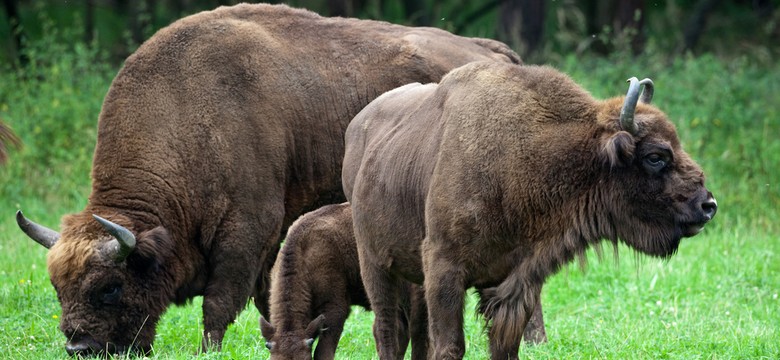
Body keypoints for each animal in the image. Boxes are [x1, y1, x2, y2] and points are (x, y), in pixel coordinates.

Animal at [344, 62, 724, 360]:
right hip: (374, 262)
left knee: (416, 332)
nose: (707, 205)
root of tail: (357, 127)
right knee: (388, 330)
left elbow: (504, 346)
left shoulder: (516, 282)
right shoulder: (444, 267)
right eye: (656, 156)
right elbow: (450, 346)